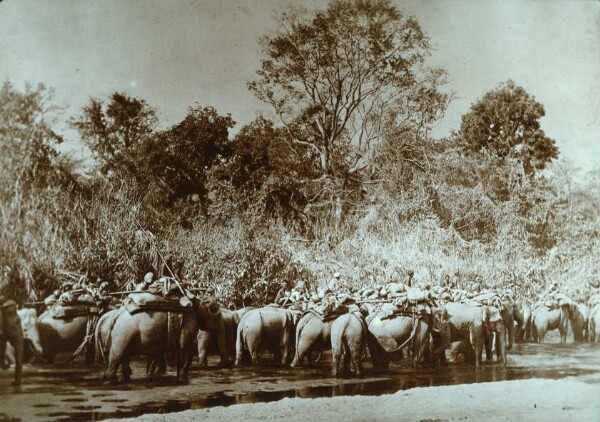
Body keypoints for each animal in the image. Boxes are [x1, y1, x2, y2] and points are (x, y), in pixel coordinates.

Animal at [96, 296, 225, 384]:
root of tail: (117, 313)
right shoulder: (188, 323)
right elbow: (183, 347)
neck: (197, 302)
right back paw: (110, 381)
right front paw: (182, 380)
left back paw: (125, 379)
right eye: (218, 315)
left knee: (124, 355)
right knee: (117, 355)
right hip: (123, 333)